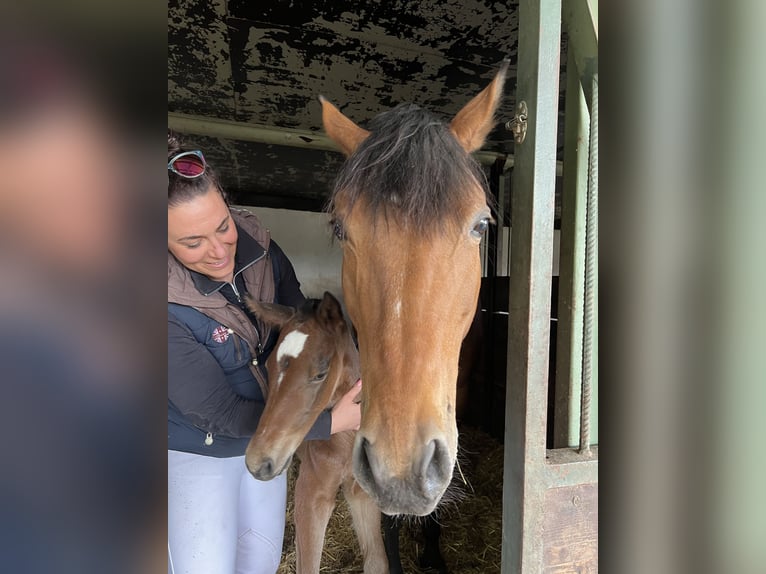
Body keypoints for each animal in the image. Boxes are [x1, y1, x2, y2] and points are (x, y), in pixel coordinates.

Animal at [246, 294, 390, 574]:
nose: (257, 462)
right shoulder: (311, 495)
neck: (346, 442)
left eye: (320, 374)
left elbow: (378, 561)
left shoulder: (361, 492)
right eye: (267, 365)